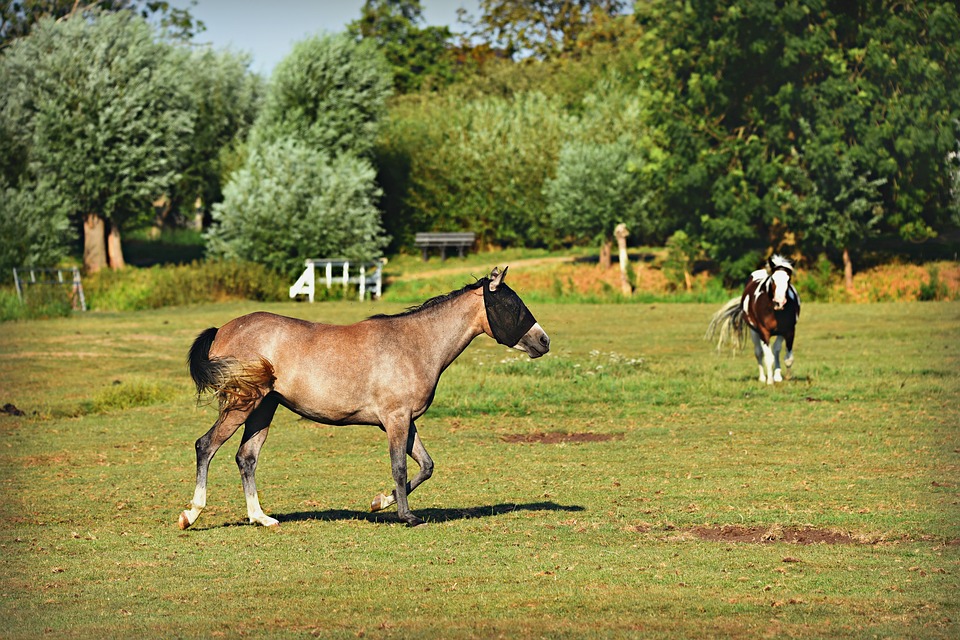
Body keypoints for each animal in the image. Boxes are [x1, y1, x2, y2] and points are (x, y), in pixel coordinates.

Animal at [181, 266, 552, 528]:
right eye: (511, 305)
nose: (544, 341)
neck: (415, 343)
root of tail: (223, 329)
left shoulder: (405, 421)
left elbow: (426, 466)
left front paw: (380, 502)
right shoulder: (396, 420)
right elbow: (400, 467)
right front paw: (406, 516)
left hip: (263, 408)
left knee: (246, 458)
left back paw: (261, 518)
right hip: (242, 405)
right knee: (206, 446)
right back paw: (192, 514)